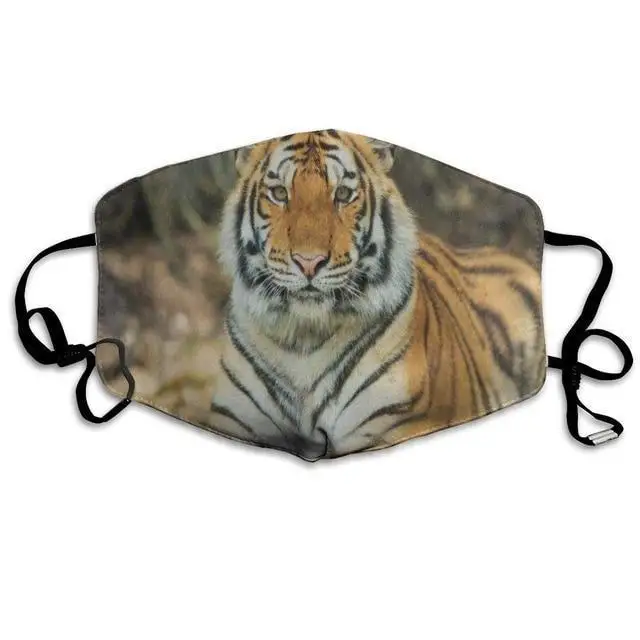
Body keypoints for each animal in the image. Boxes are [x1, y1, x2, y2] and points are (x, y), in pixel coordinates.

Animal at [211, 130, 545, 460]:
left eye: (343, 195)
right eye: (280, 194)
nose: (309, 262)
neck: (302, 341)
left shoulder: (401, 422)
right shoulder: (234, 419)